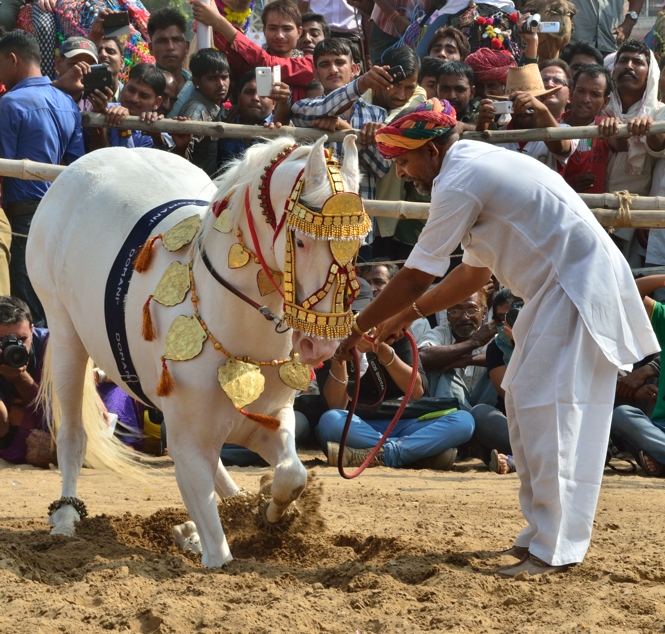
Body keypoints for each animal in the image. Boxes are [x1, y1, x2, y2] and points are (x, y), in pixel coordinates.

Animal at [24, 132, 364, 564]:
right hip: (66, 333)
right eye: (301, 241)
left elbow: (292, 475)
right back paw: (66, 518)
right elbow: (219, 554)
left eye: (360, 243)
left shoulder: (271, 421)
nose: (320, 344)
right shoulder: (190, 444)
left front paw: (263, 514)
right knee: (72, 433)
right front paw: (211, 535)